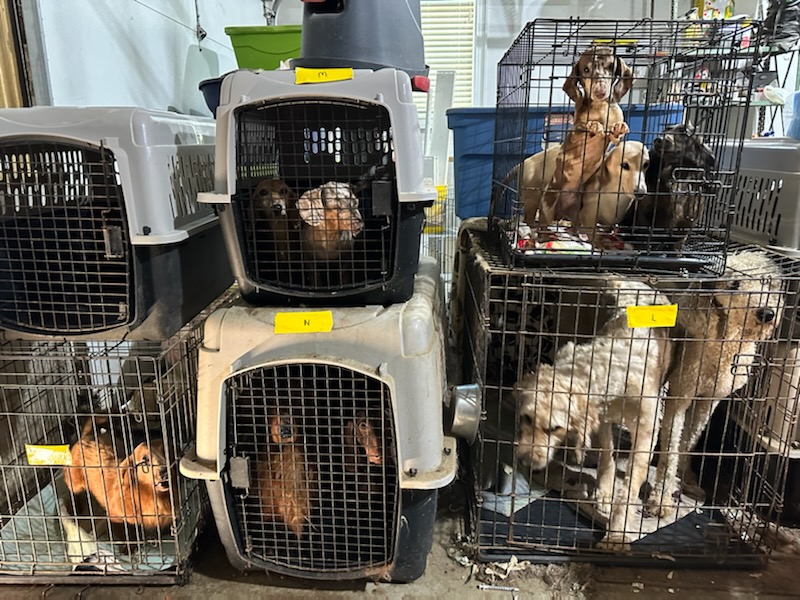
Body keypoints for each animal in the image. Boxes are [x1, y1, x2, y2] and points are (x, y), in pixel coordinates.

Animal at [516, 278, 672, 552]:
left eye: (554, 428)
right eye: (526, 418)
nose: (525, 462)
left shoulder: (645, 431)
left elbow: (630, 486)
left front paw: (616, 535)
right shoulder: (602, 420)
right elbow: (606, 457)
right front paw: (604, 492)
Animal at [648, 248, 784, 516]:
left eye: (765, 282)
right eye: (734, 285)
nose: (767, 313)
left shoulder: (710, 399)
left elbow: (688, 440)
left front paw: (684, 477)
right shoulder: (680, 395)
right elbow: (671, 447)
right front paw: (661, 497)